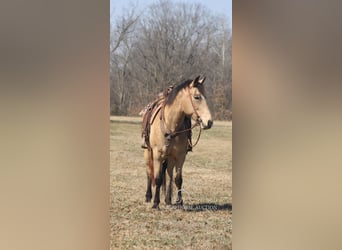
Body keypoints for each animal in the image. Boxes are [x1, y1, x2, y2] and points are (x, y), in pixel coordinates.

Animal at [142, 75, 212, 208]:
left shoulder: (180, 156)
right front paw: (156, 203)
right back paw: (148, 196)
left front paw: (179, 202)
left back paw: (168, 199)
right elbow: (157, 179)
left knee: (169, 175)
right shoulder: (157, 155)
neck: (170, 126)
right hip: (148, 153)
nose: (209, 122)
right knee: (148, 172)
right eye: (197, 97)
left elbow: (178, 179)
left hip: (170, 158)